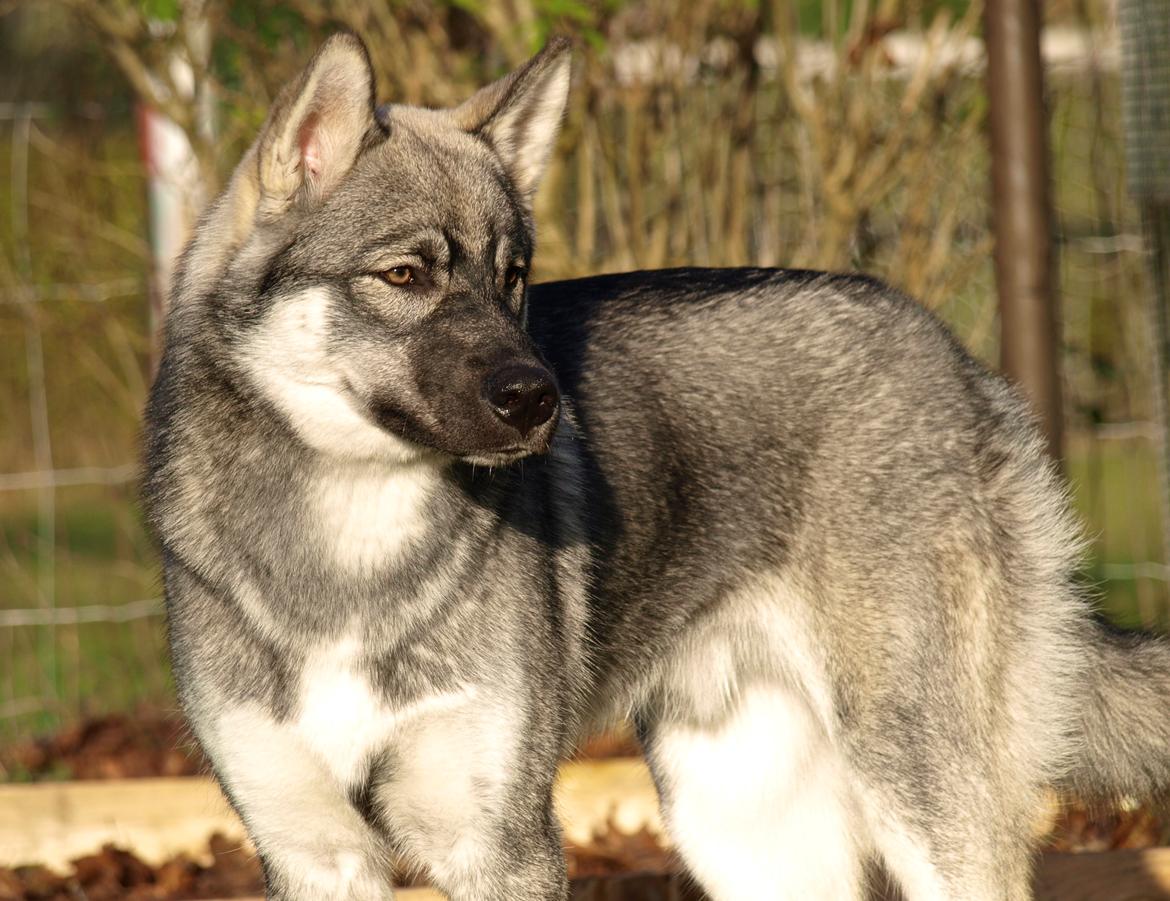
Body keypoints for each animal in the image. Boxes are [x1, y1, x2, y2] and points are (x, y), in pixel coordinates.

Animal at [142, 31, 1170, 901]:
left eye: (513, 278)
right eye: (405, 275)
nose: (539, 399)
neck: (348, 541)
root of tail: (960, 360)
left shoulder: (497, 845)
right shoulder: (313, 852)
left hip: (916, 793)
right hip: (742, 828)